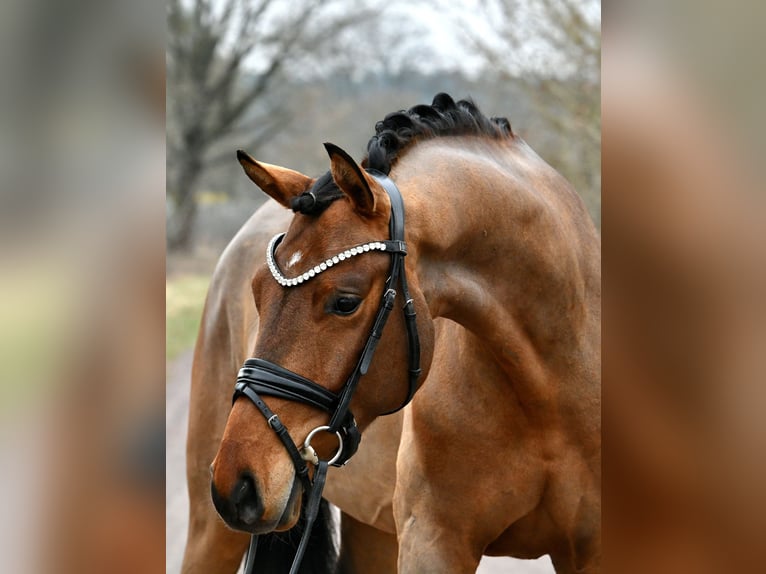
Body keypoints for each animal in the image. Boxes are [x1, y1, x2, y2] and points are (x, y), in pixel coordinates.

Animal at [182, 93, 601, 573]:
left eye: (345, 302)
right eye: (257, 292)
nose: (239, 481)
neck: (546, 393)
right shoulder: (432, 543)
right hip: (210, 530)